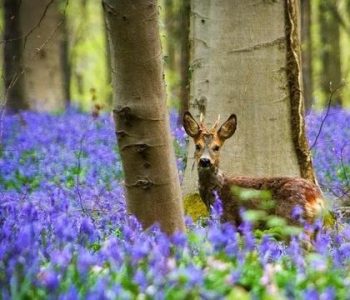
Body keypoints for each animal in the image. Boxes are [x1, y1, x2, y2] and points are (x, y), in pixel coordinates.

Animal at [183, 111, 326, 229]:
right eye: (197, 146)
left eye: (216, 147)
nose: (205, 161)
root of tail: (317, 197)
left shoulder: (228, 218)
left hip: (293, 219)